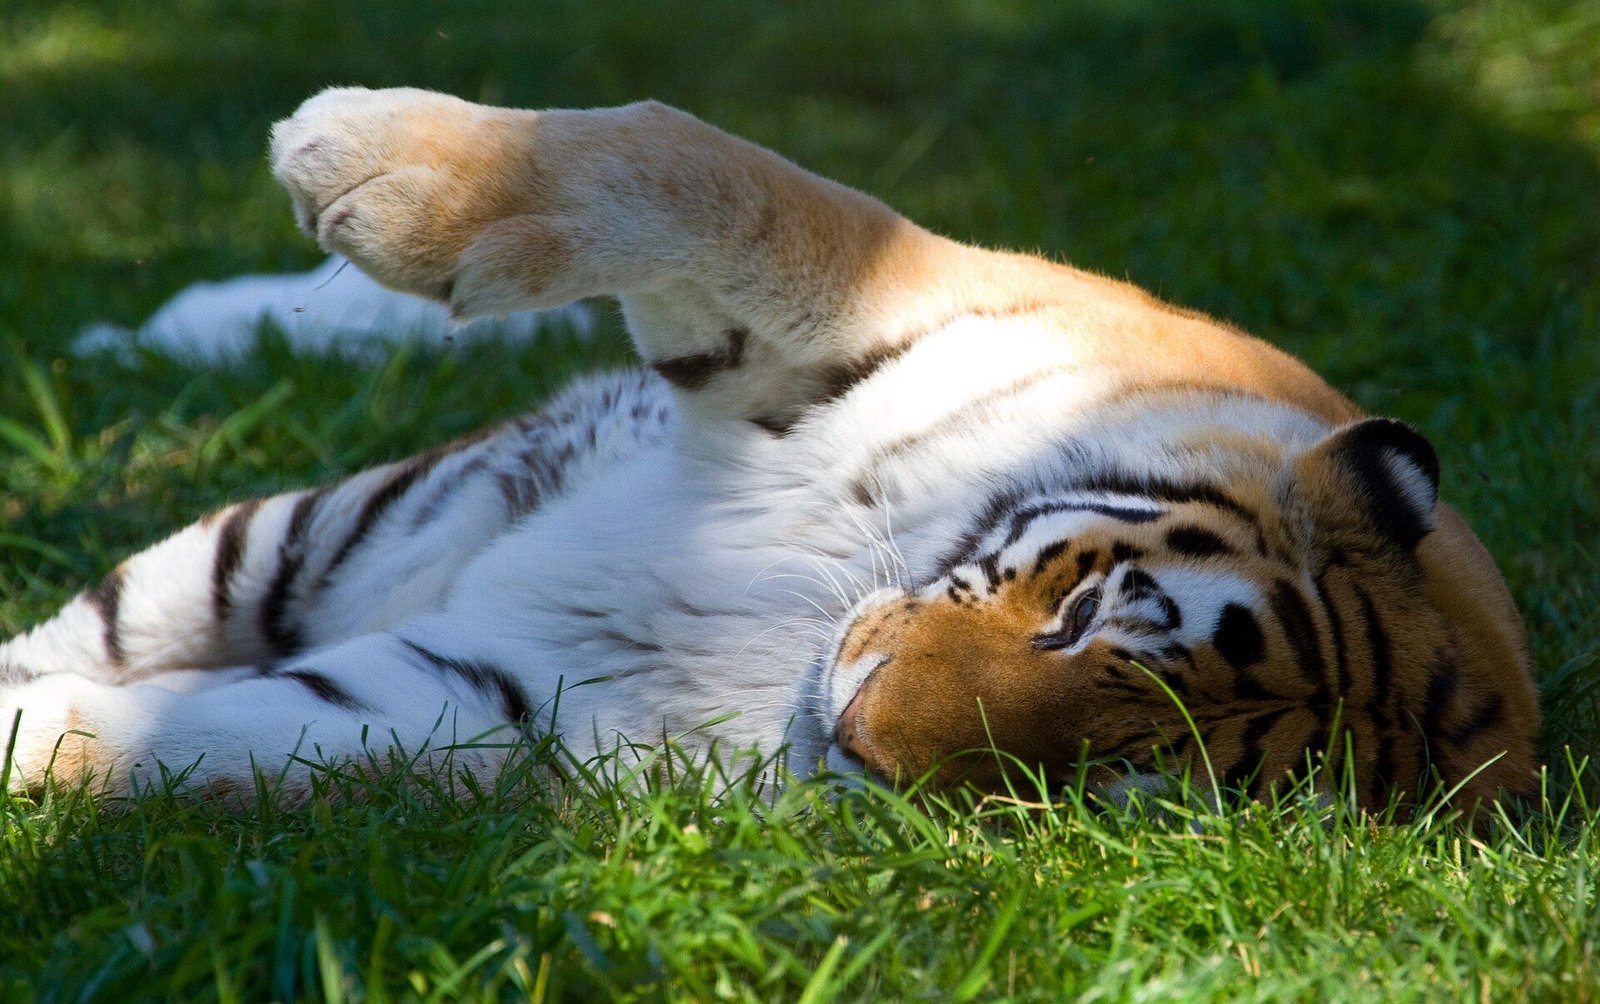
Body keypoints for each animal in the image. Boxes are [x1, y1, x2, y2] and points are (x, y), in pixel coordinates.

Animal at [0, 86, 1540, 811]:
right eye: (1086, 613)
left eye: (1103, 781)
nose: (858, 729)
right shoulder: (868, 290)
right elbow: (696, 167)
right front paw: (359, 157)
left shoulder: (498, 699)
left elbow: (211, 738)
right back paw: (187, 316)